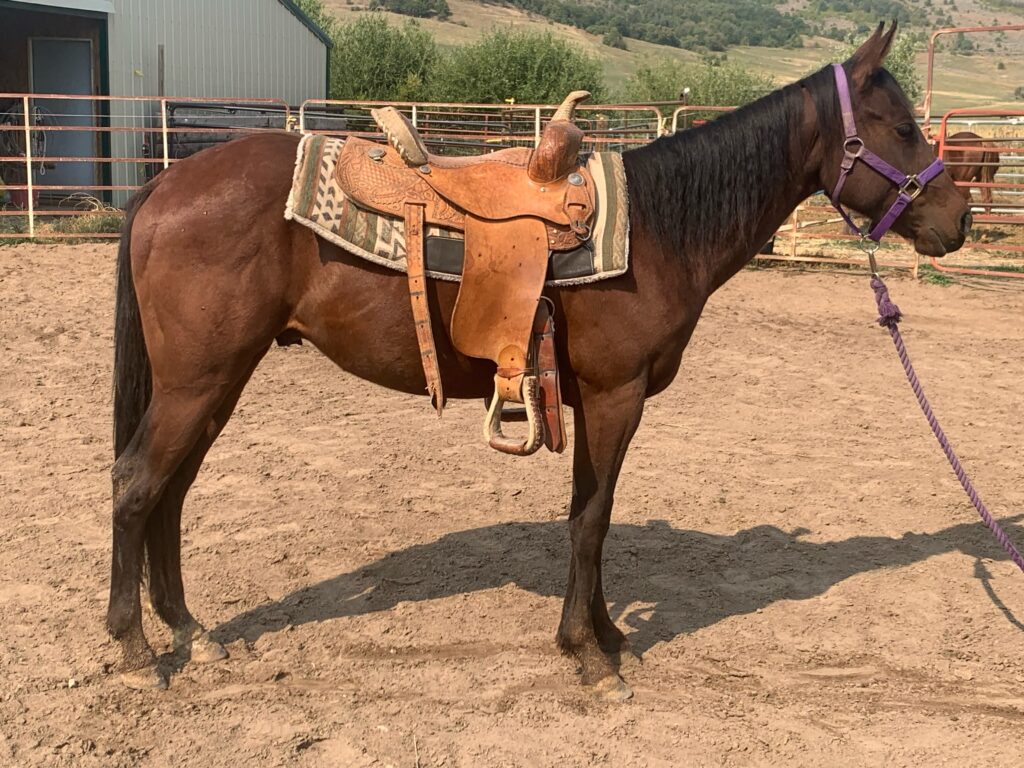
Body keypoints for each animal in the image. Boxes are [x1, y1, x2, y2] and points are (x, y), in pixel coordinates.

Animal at [107, 23, 970, 699]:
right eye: (900, 127)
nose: (958, 217)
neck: (659, 229)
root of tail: (165, 185)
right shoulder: (617, 395)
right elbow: (591, 519)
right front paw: (589, 655)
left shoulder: (592, 400)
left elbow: (594, 510)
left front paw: (607, 634)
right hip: (198, 382)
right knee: (137, 485)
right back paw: (136, 650)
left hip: (217, 381)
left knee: (171, 493)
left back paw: (190, 631)